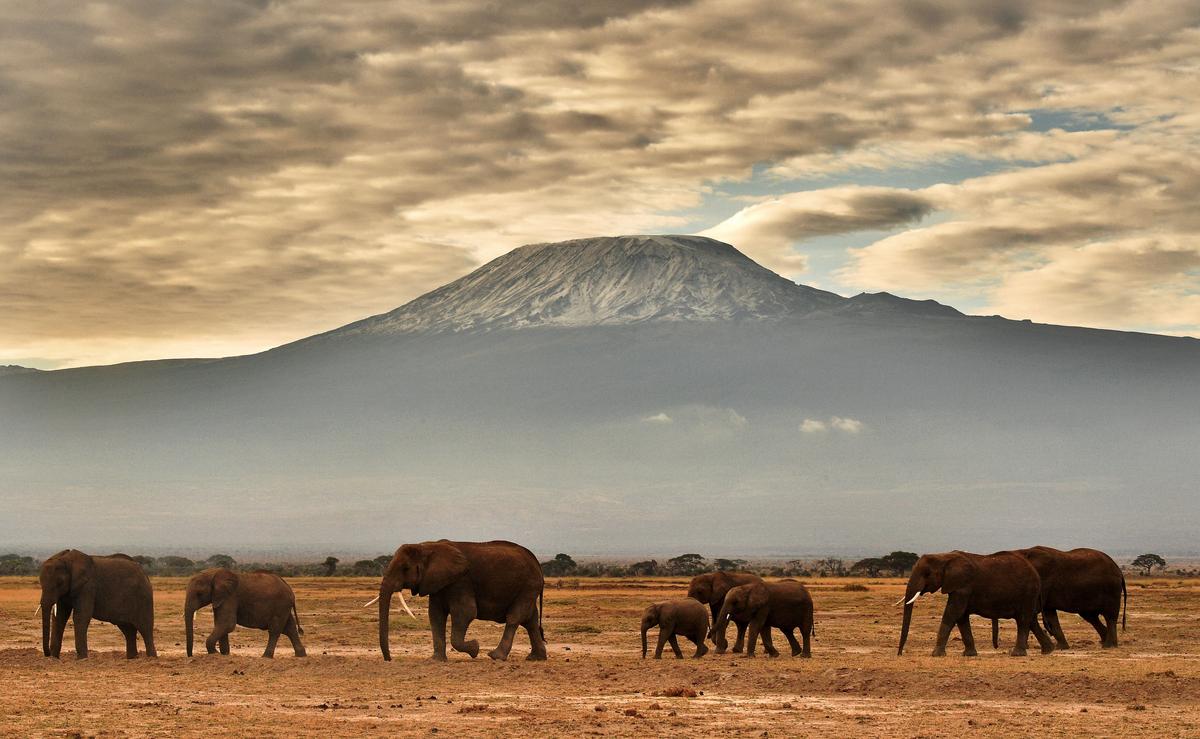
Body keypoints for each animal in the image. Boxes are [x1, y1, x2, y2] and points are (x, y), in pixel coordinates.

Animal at [370, 539, 548, 662]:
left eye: (405, 568)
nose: (389, 659)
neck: (427, 547)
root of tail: (537, 563)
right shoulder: (437, 584)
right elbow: (435, 615)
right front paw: (436, 660)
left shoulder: (460, 581)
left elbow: (465, 613)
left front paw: (475, 648)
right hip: (528, 588)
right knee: (530, 621)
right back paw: (536, 658)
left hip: (528, 586)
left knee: (515, 618)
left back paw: (495, 656)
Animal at [898, 550, 1054, 657]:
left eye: (926, 574)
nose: (899, 654)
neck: (944, 556)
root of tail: (1036, 573)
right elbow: (961, 618)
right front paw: (969, 654)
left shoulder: (962, 586)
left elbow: (952, 614)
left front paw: (936, 655)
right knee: (1031, 620)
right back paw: (1048, 650)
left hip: (1028, 592)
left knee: (1023, 619)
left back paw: (1016, 654)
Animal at [990, 546, 1127, 650]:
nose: (996, 646)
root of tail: (1119, 570)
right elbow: (1051, 616)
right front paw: (1061, 647)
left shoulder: (1043, 583)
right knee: (1091, 617)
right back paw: (1105, 641)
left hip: (1111, 590)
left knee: (1110, 616)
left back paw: (1109, 645)